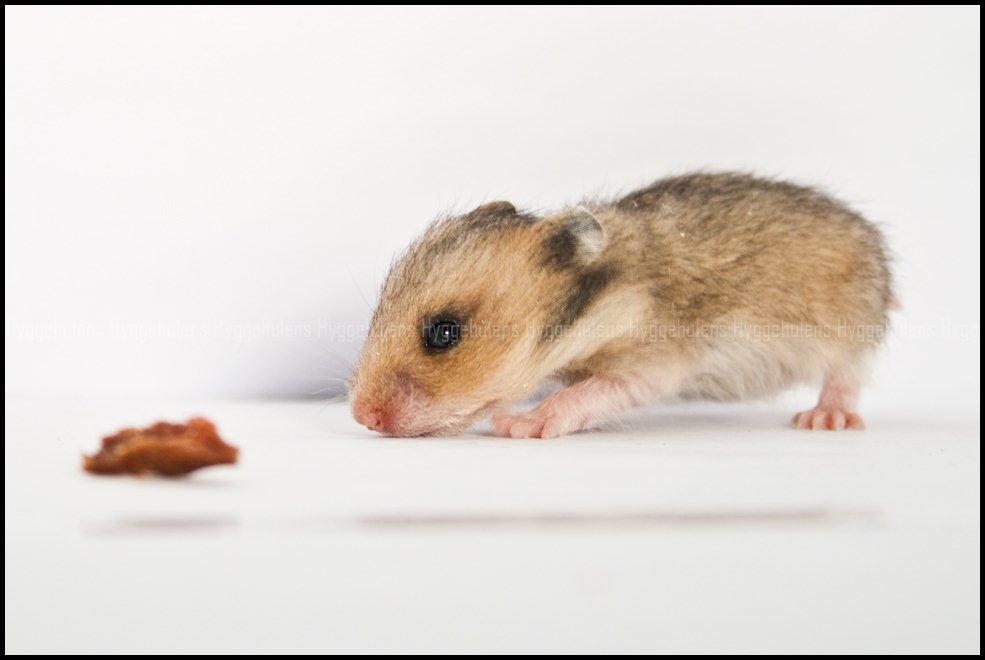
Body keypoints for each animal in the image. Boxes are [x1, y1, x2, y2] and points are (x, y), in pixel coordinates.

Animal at [349, 172, 894, 437]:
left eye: (445, 332)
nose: (362, 418)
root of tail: (870, 236)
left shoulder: (650, 361)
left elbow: (588, 393)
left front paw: (517, 424)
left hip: (852, 326)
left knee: (846, 375)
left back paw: (825, 420)